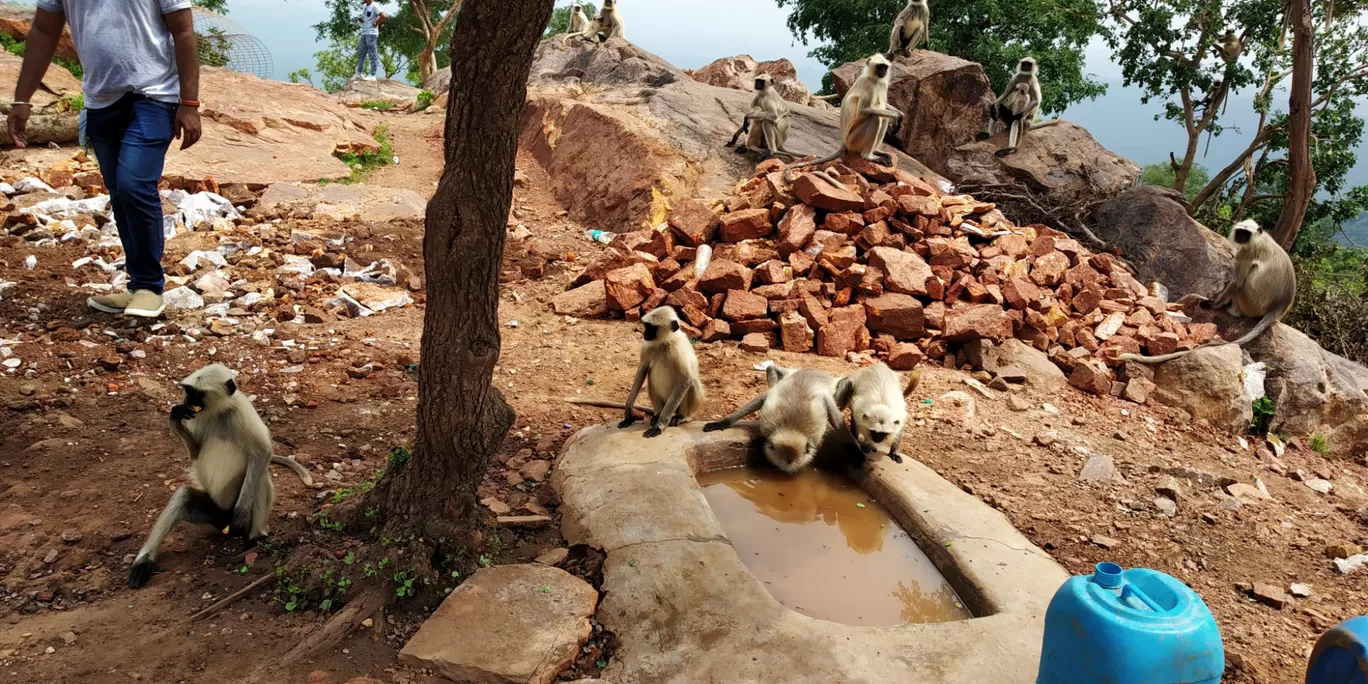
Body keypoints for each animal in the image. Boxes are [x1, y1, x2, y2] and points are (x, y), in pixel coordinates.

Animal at [126, 363, 313, 588]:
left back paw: (256, 536)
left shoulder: (242, 412)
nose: (186, 401)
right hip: (212, 518)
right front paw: (176, 416)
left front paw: (240, 517)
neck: (220, 412)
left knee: (259, 475)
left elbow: (262, 453)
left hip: (233, 511)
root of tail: (223, 515)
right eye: (188, 391)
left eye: (197, 393)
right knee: (184, 496)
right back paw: (143, 562)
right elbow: (195, 454)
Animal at [621, 306, 705, 437]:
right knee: (650, 373)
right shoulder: (647, 345)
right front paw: (628, 411)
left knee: (692, 382)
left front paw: (660, 426)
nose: (645, 333)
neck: (664, 342)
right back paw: (658, 414)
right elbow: (643, 369)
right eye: (646, 326)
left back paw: (681, 417)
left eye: (652, 327)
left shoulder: (677, 349)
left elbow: (686, 380)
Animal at [705, 366, 853, 473]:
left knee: (848, 382)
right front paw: (722, 422)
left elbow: (832, 409)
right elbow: (762, 398)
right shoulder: (770, 405)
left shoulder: (820, 406)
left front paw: (853, 450)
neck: (791, 427)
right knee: (770, 367)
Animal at [782, 54, 908, 184]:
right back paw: (869, 156)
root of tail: (844, 144)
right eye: (879, 67)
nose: (882, 72)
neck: (874, 79)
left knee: (883, 117)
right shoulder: (867, 84)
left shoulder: (882, 84)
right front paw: (896, 115)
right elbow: (863, 111)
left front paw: (900, 115)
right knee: (875, 118)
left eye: (884, 67)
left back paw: (876, 151)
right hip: (853, 140)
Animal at [1121, 221, 1291, 366]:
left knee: (1241, 285)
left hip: (1250, 302)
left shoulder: (1245, 252)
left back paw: (1233, 310)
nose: (1241, 238)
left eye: (1246, 234)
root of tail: (1280, 305)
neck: (1259, 240)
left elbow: (1236, 282)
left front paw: (1213, 304)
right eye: (1240, 232)